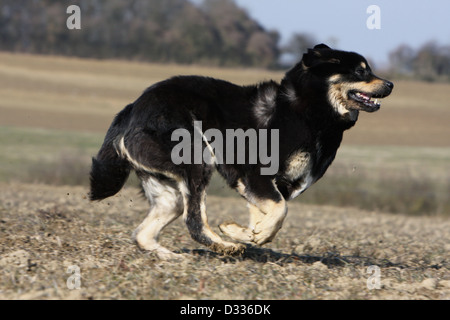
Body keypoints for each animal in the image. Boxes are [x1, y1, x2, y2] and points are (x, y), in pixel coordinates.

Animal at [89, 44, 392, 260]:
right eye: (361, 71)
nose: (390, 84)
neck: (309, 112)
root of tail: (132, 109)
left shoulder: (275, 185)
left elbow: (269, 216)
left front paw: (248, 234)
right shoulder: (256, 175)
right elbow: (280, 211)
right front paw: (241, 234)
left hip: (169, 192)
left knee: (144, 233)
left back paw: (171, 256)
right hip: (196, 160)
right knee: (194, 220)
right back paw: (223, 246)